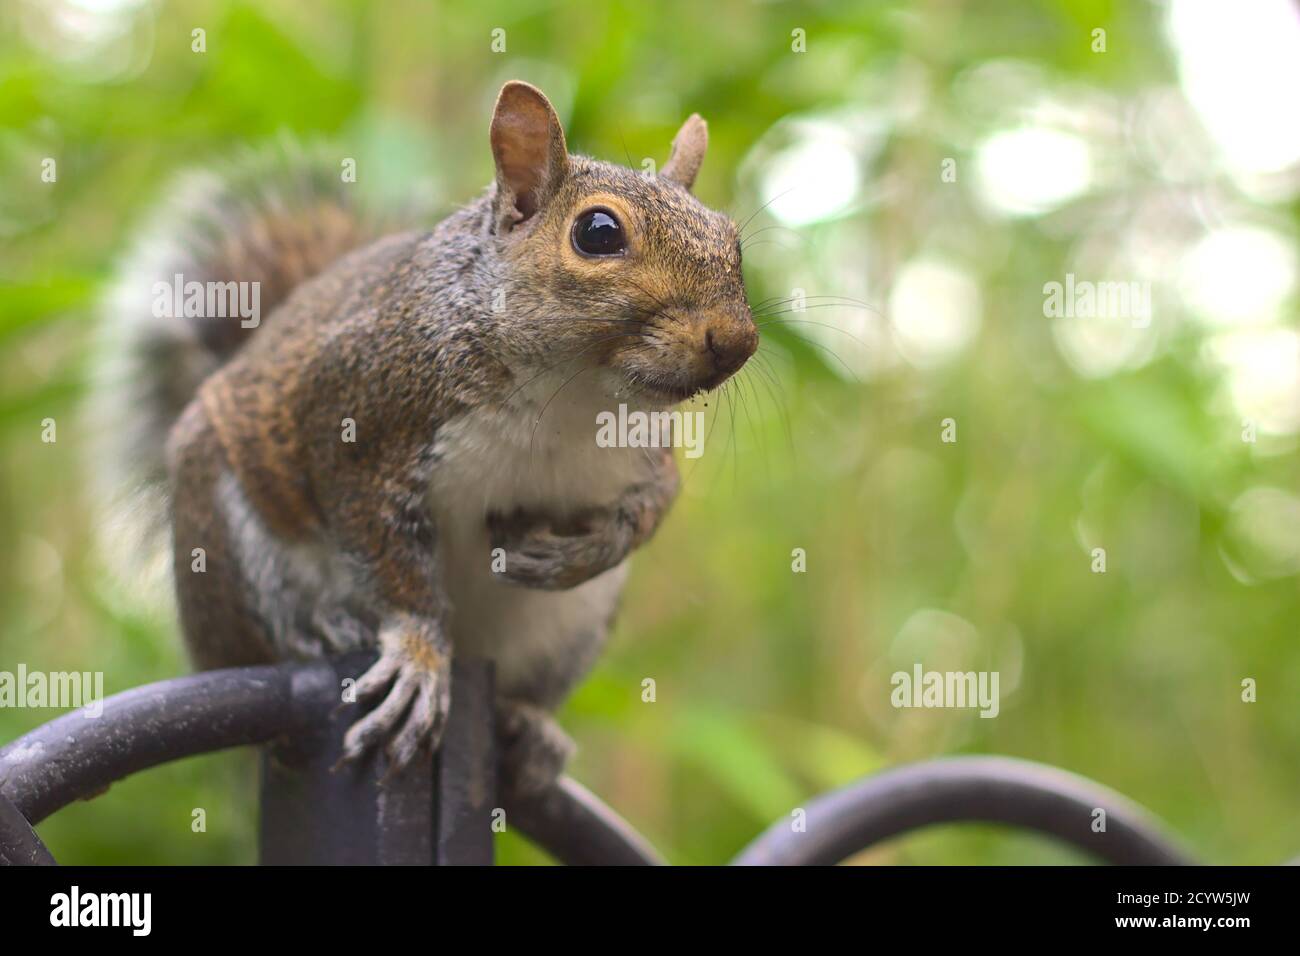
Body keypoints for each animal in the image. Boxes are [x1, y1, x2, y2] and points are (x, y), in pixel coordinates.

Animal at [99, 81, 757, 795]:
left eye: (732, 240)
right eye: (598, 232)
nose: (737, 340)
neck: (569, 393)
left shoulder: (644, 448)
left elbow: (654, 502)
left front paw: (583, 551)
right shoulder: (356, 421)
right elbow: (389, 558)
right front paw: (418, 655)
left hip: (571, 630)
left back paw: (532, 727)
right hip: (223, 535)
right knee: (255, 636)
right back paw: (317, 630)